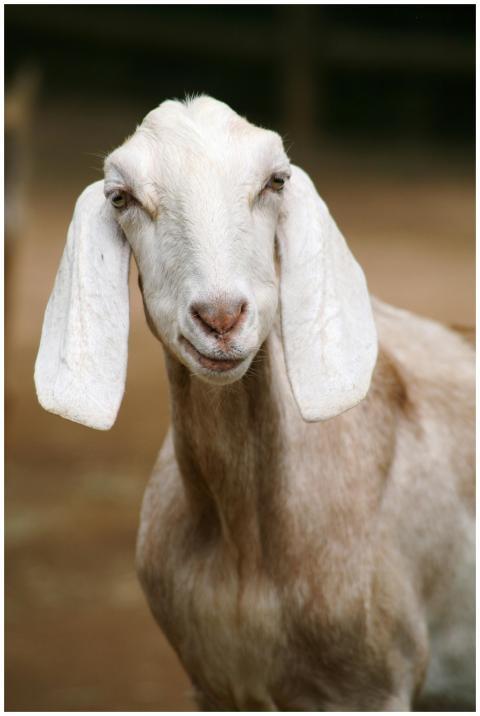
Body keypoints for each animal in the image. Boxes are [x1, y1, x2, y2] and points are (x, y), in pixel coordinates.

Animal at [35, 96, 475, 711]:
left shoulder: (375, 685)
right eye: (121, 197)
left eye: (276, 181)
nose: (221, 318)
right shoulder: (213, 684)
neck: (247, 550)